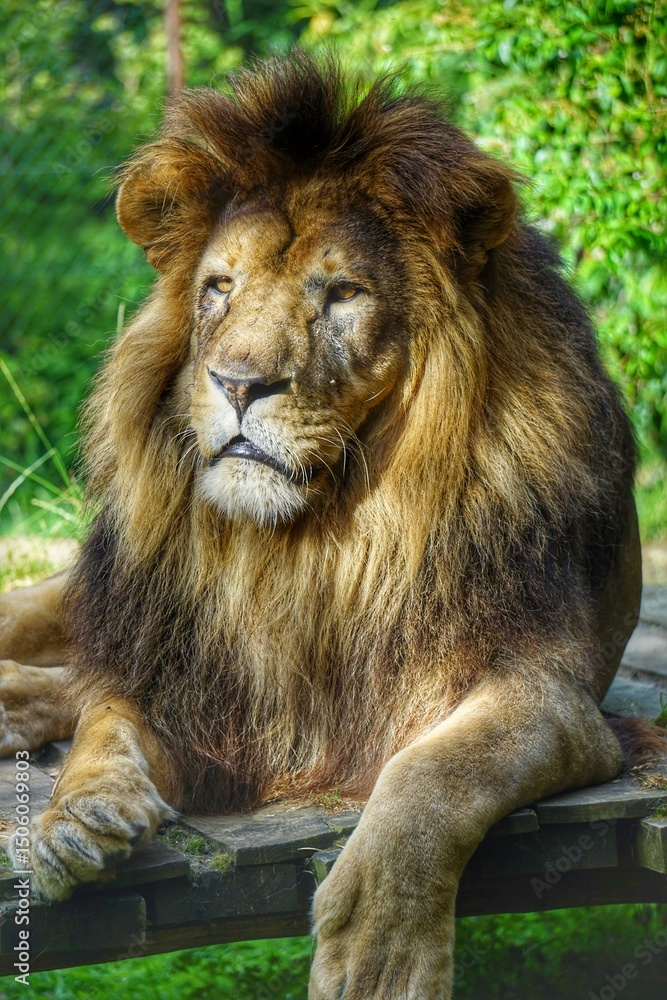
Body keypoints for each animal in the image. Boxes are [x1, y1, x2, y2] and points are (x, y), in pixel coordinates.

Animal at [0, 53, 646, 999]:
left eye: (341, 294)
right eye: (218, 288)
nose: (237, 383)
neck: (317, 542)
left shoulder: (551, 692)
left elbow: (429, 776)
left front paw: (380, 955)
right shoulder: (189, 669)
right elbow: (108, 719)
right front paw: (75, 814)